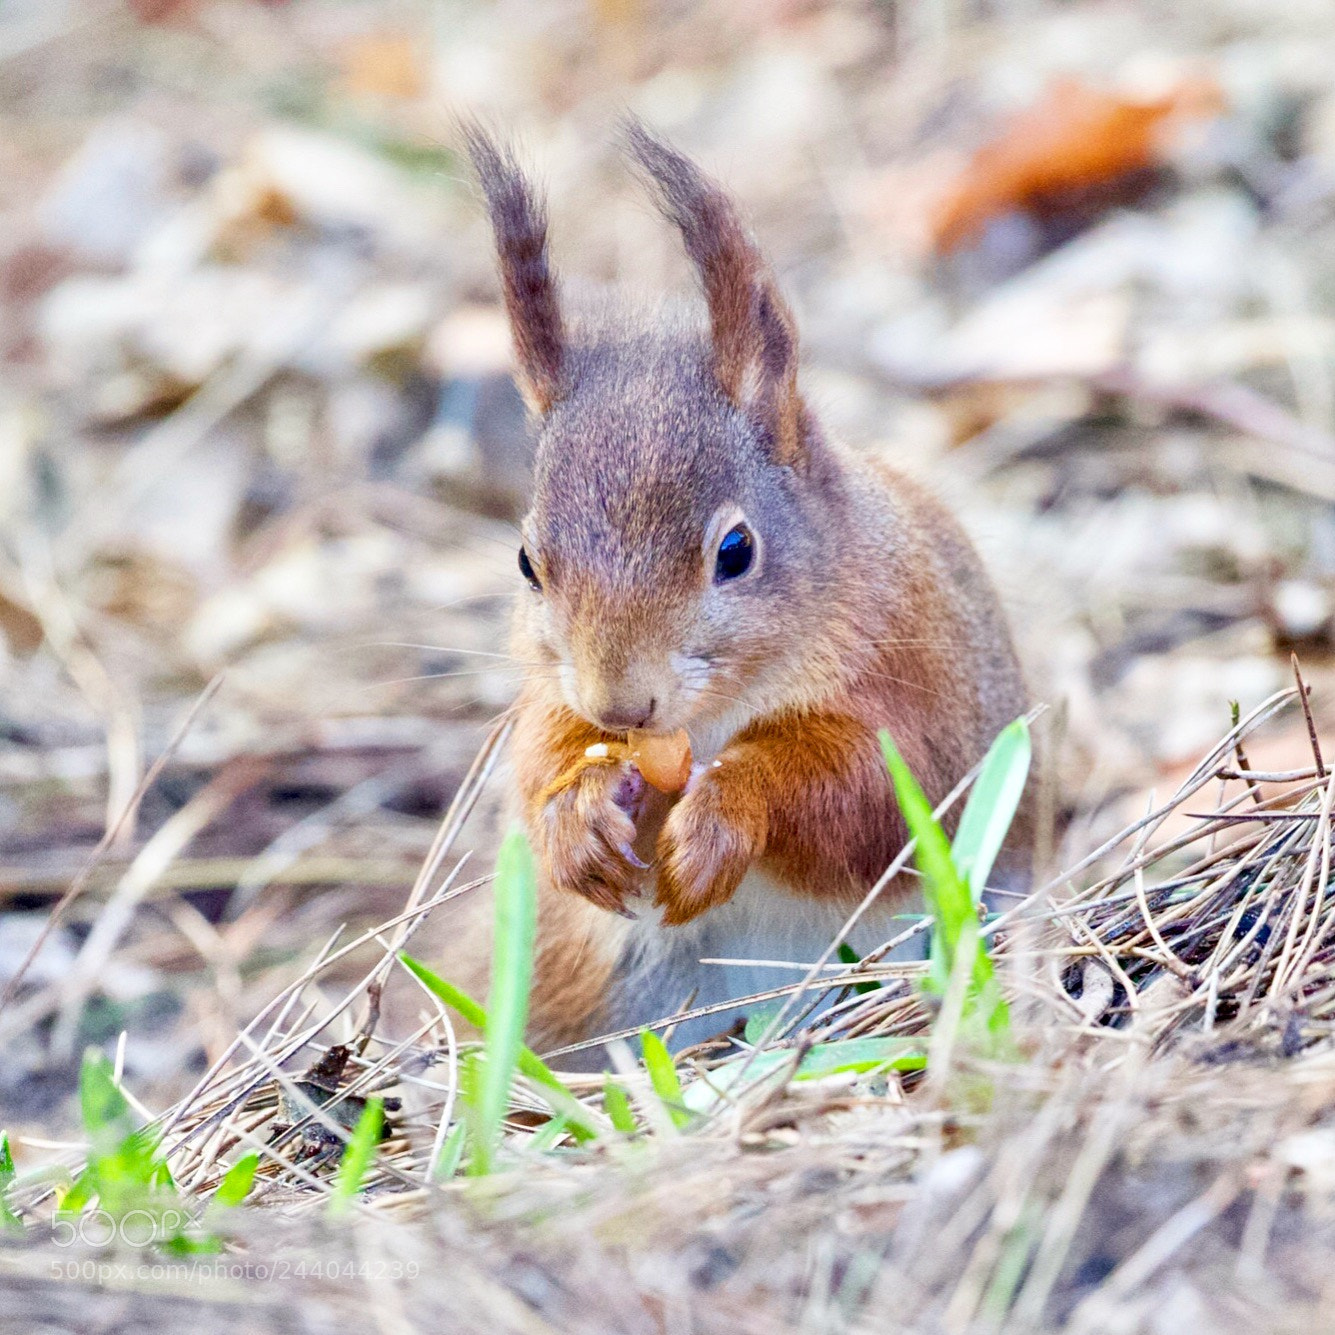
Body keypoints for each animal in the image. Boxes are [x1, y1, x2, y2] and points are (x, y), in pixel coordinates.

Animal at [455, 122, 1032, 1062]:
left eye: (735, 550)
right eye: (526, 561)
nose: (621, 703)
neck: (710, 720)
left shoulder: (919, 680)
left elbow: (871, 794)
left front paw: (726, 809)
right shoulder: (549, 693)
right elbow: (540, 757)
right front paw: (575, 812)